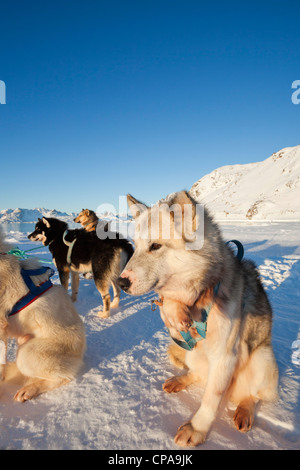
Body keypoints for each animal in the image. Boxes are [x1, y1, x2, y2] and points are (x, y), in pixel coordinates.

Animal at [118, 192, 278, 448]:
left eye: (155, 246)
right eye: (136, 246)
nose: (121, 282)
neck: (202, 296)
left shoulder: (225, 356)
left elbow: (210, 401)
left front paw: (197, 429)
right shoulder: (179, 333)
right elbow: (171, 305)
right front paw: (174, 309)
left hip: (262, 359)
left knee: (252, 395)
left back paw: (244, 409)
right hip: (193, 354)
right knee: (198, 374)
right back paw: (180, 380)